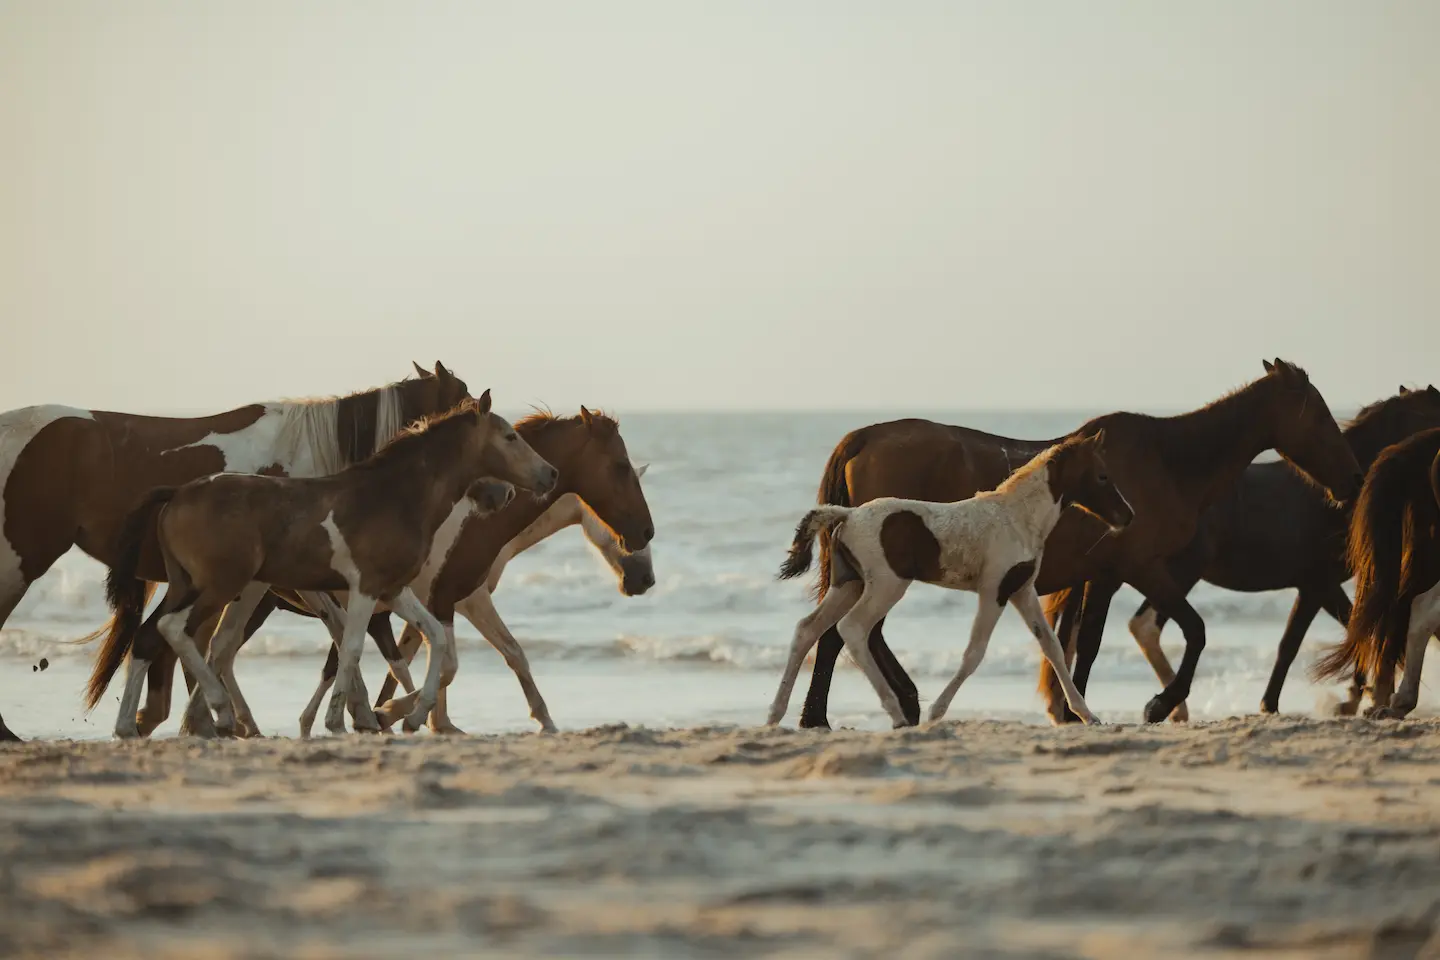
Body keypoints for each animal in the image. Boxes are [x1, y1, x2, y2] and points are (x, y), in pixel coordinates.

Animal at [0, 361, 471, 741]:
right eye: (466, 402)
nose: (485, 494)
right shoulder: (267, 579)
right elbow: (227, 644)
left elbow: (337, 633)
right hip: (20, 561)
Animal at [101, 393, 558, 738]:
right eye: (510, 436)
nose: (549, 474)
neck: (393, 496)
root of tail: (177, 494)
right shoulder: (365, 587)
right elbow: (351, 648)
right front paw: (345, 719)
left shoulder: (393, 589)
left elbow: (434, 639)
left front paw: (411, 715)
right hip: (219, 585)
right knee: (175, 630)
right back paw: (220, 711)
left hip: (186, 584)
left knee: (148, 637)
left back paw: (127, 725)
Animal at [770, 431, 1134, 727]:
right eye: (1102, 475)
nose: (1127, 516)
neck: (1016, 516)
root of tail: (848, 515)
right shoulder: (994, 589)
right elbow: (974, 652)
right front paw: (937, 712)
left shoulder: (1022, 590)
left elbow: (1051, 647)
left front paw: (1087, 715)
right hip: (886, 586)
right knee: (853, 629)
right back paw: (898, 714)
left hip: (848, 584)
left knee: (808, 629)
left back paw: (776, 713)